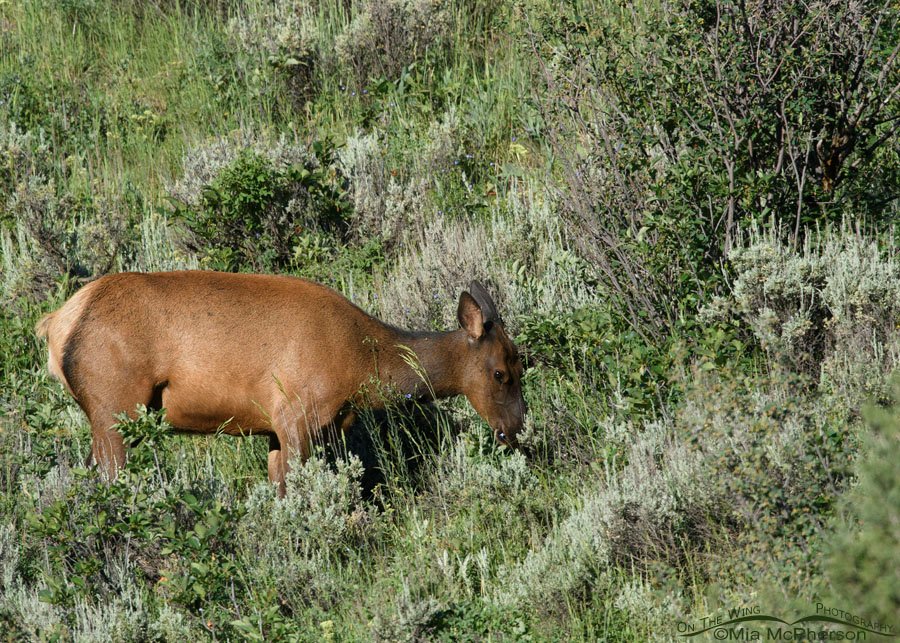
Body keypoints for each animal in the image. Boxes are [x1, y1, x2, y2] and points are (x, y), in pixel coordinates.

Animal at [36, 271, 526, 495]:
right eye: (501, 372)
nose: (515, 432)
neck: (363, 371)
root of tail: (55, 325)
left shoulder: (276, 428)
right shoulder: (297, 413)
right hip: (115, 407)